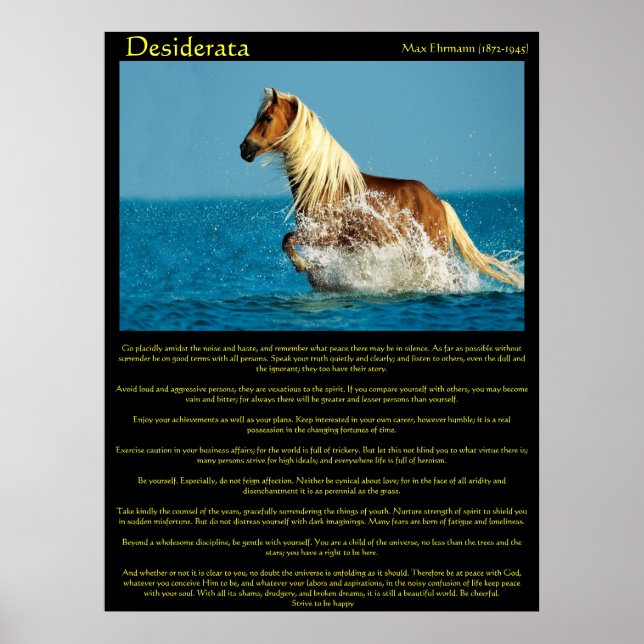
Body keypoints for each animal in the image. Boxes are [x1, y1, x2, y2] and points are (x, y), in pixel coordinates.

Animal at [240, 88, 524, 290]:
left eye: (267, 117)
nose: (244, 148)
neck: (325, 185)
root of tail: (438, 202)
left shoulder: (324, 235)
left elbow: (287, 240)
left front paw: (302, 266)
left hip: (434, 249)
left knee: (451, 276)